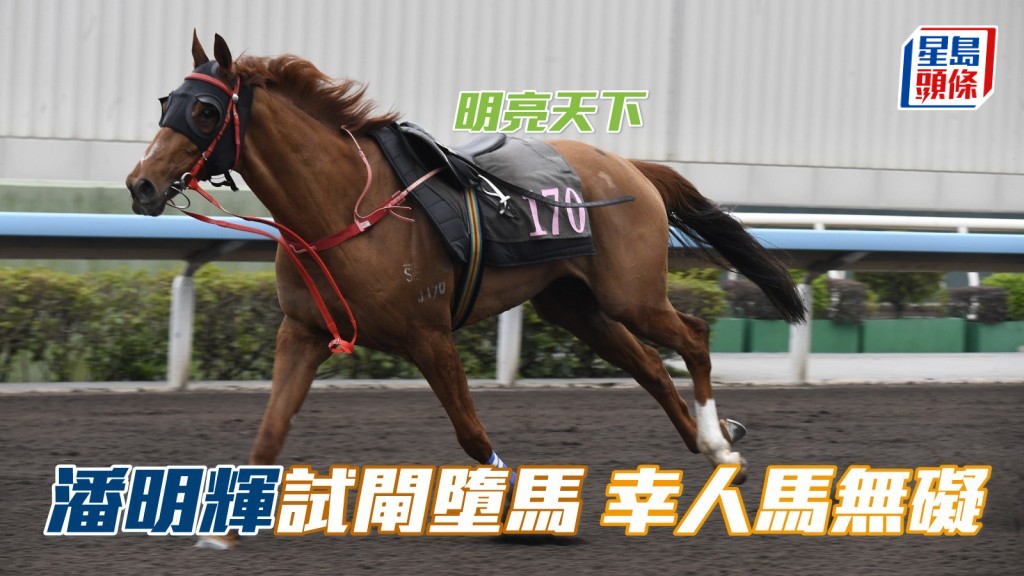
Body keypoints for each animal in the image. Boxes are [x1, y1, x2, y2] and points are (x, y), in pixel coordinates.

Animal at [126, 33, 805, 545]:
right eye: (167, 101)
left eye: (205, 111)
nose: (141, 184)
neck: (344, 209)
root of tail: (632, 169)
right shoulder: (305, 332)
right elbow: (271, 428)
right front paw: (222, 532)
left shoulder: (429, 335)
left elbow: (472, 434)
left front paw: (528, 514)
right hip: (576, 307)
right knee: (650, 367)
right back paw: (718, 451)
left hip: (630, 295)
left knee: (692, 337)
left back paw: (718, 445)